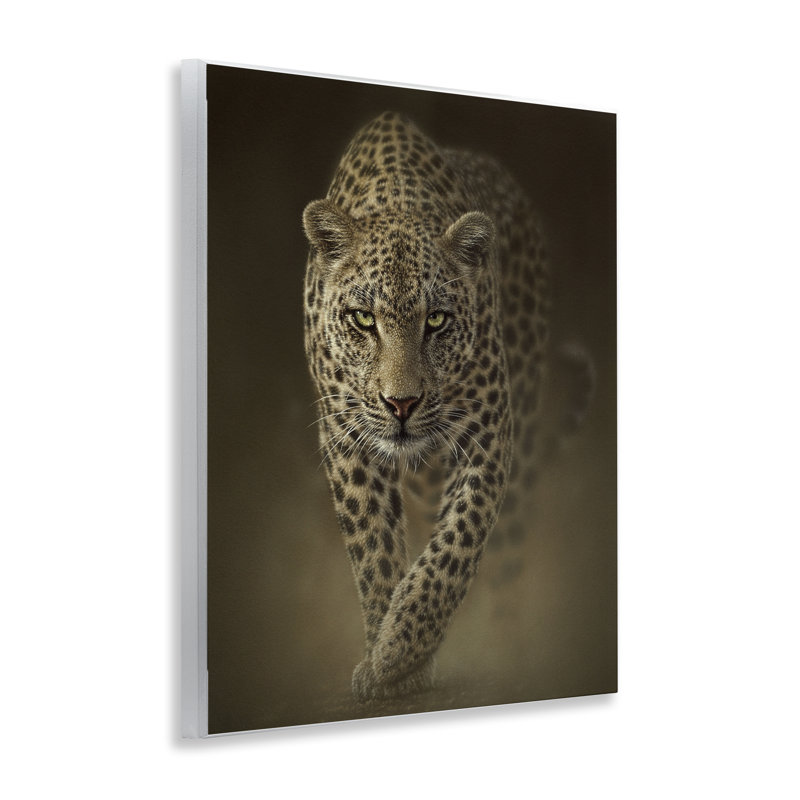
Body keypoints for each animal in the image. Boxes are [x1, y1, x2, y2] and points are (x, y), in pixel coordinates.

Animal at [302, 111, 588, 702]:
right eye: (363, 319)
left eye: (436, 320)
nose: (402, 404)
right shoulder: (344, 436)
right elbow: (372, 546)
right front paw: (387, 659)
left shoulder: (489, 430)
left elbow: (458, 544)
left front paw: (401, 651)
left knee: (504, 557)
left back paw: (506, 648)